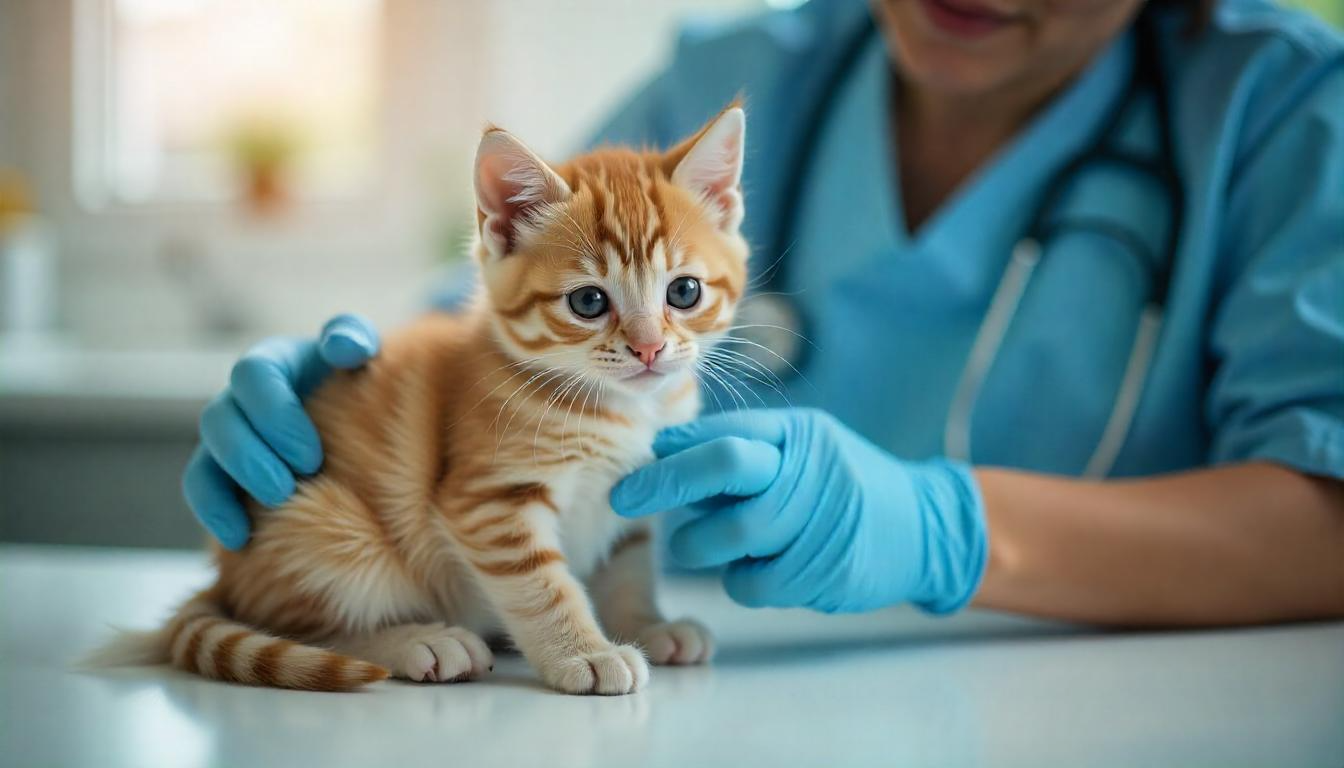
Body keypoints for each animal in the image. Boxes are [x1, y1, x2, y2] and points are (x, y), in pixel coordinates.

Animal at [89, 106, 752, 699]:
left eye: (684, 292)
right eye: (588, 303)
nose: (649, 348)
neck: (620, 410)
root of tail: (226, 577)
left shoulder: (632, 498)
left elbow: (629, 571)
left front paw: (648, 626)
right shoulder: (486, 501)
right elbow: (542, 584)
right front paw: (584, 653)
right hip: (329, 532)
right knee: (301, 628)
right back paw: (418, 641)